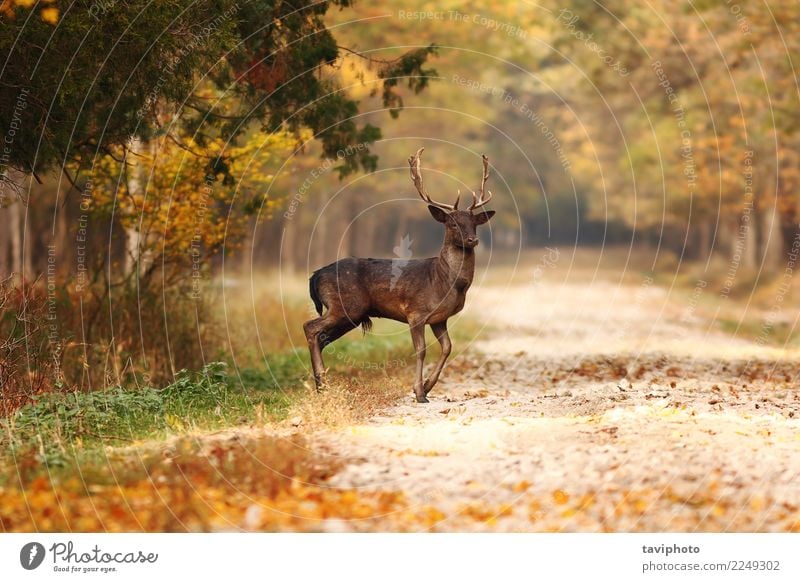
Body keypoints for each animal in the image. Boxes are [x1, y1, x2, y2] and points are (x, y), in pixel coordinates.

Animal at [304, 148, 494, 404]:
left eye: (475, 223)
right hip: (344, 305)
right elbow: (421, 350)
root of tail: (315, 275)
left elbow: (447, 347)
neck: (445, 282)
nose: (473, 240)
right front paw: (419, 393)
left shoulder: (439, 318)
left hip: (351, 314)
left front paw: (427, 386)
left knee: (321, 338)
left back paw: (322, 387)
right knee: (310, 327)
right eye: (453, 223)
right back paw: (322, 386)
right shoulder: (416, 312)